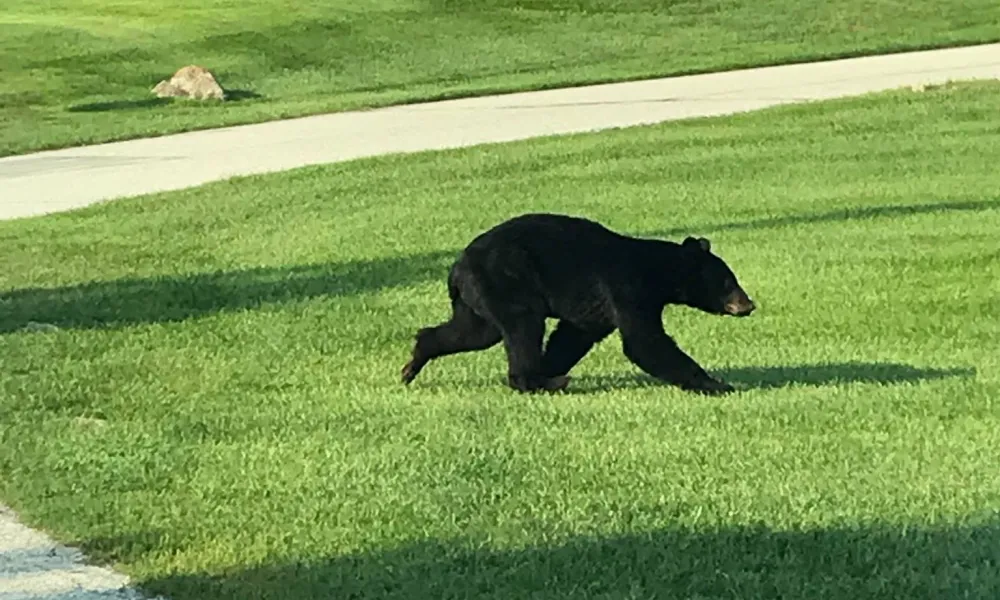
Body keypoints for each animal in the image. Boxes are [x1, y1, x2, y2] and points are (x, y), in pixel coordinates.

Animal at [402, 213, 752, 396]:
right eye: (728, 281)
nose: (749, 304)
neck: (657, 271)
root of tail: (456, 268)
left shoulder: (595, 310)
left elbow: (573, 336)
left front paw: (551, 364)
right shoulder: (627, 289)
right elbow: (644, 342)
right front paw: (718, 383)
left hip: (478, 298)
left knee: (473, 332)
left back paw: (412, 364)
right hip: (505, 282)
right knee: (522, 327)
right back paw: (538, 382)